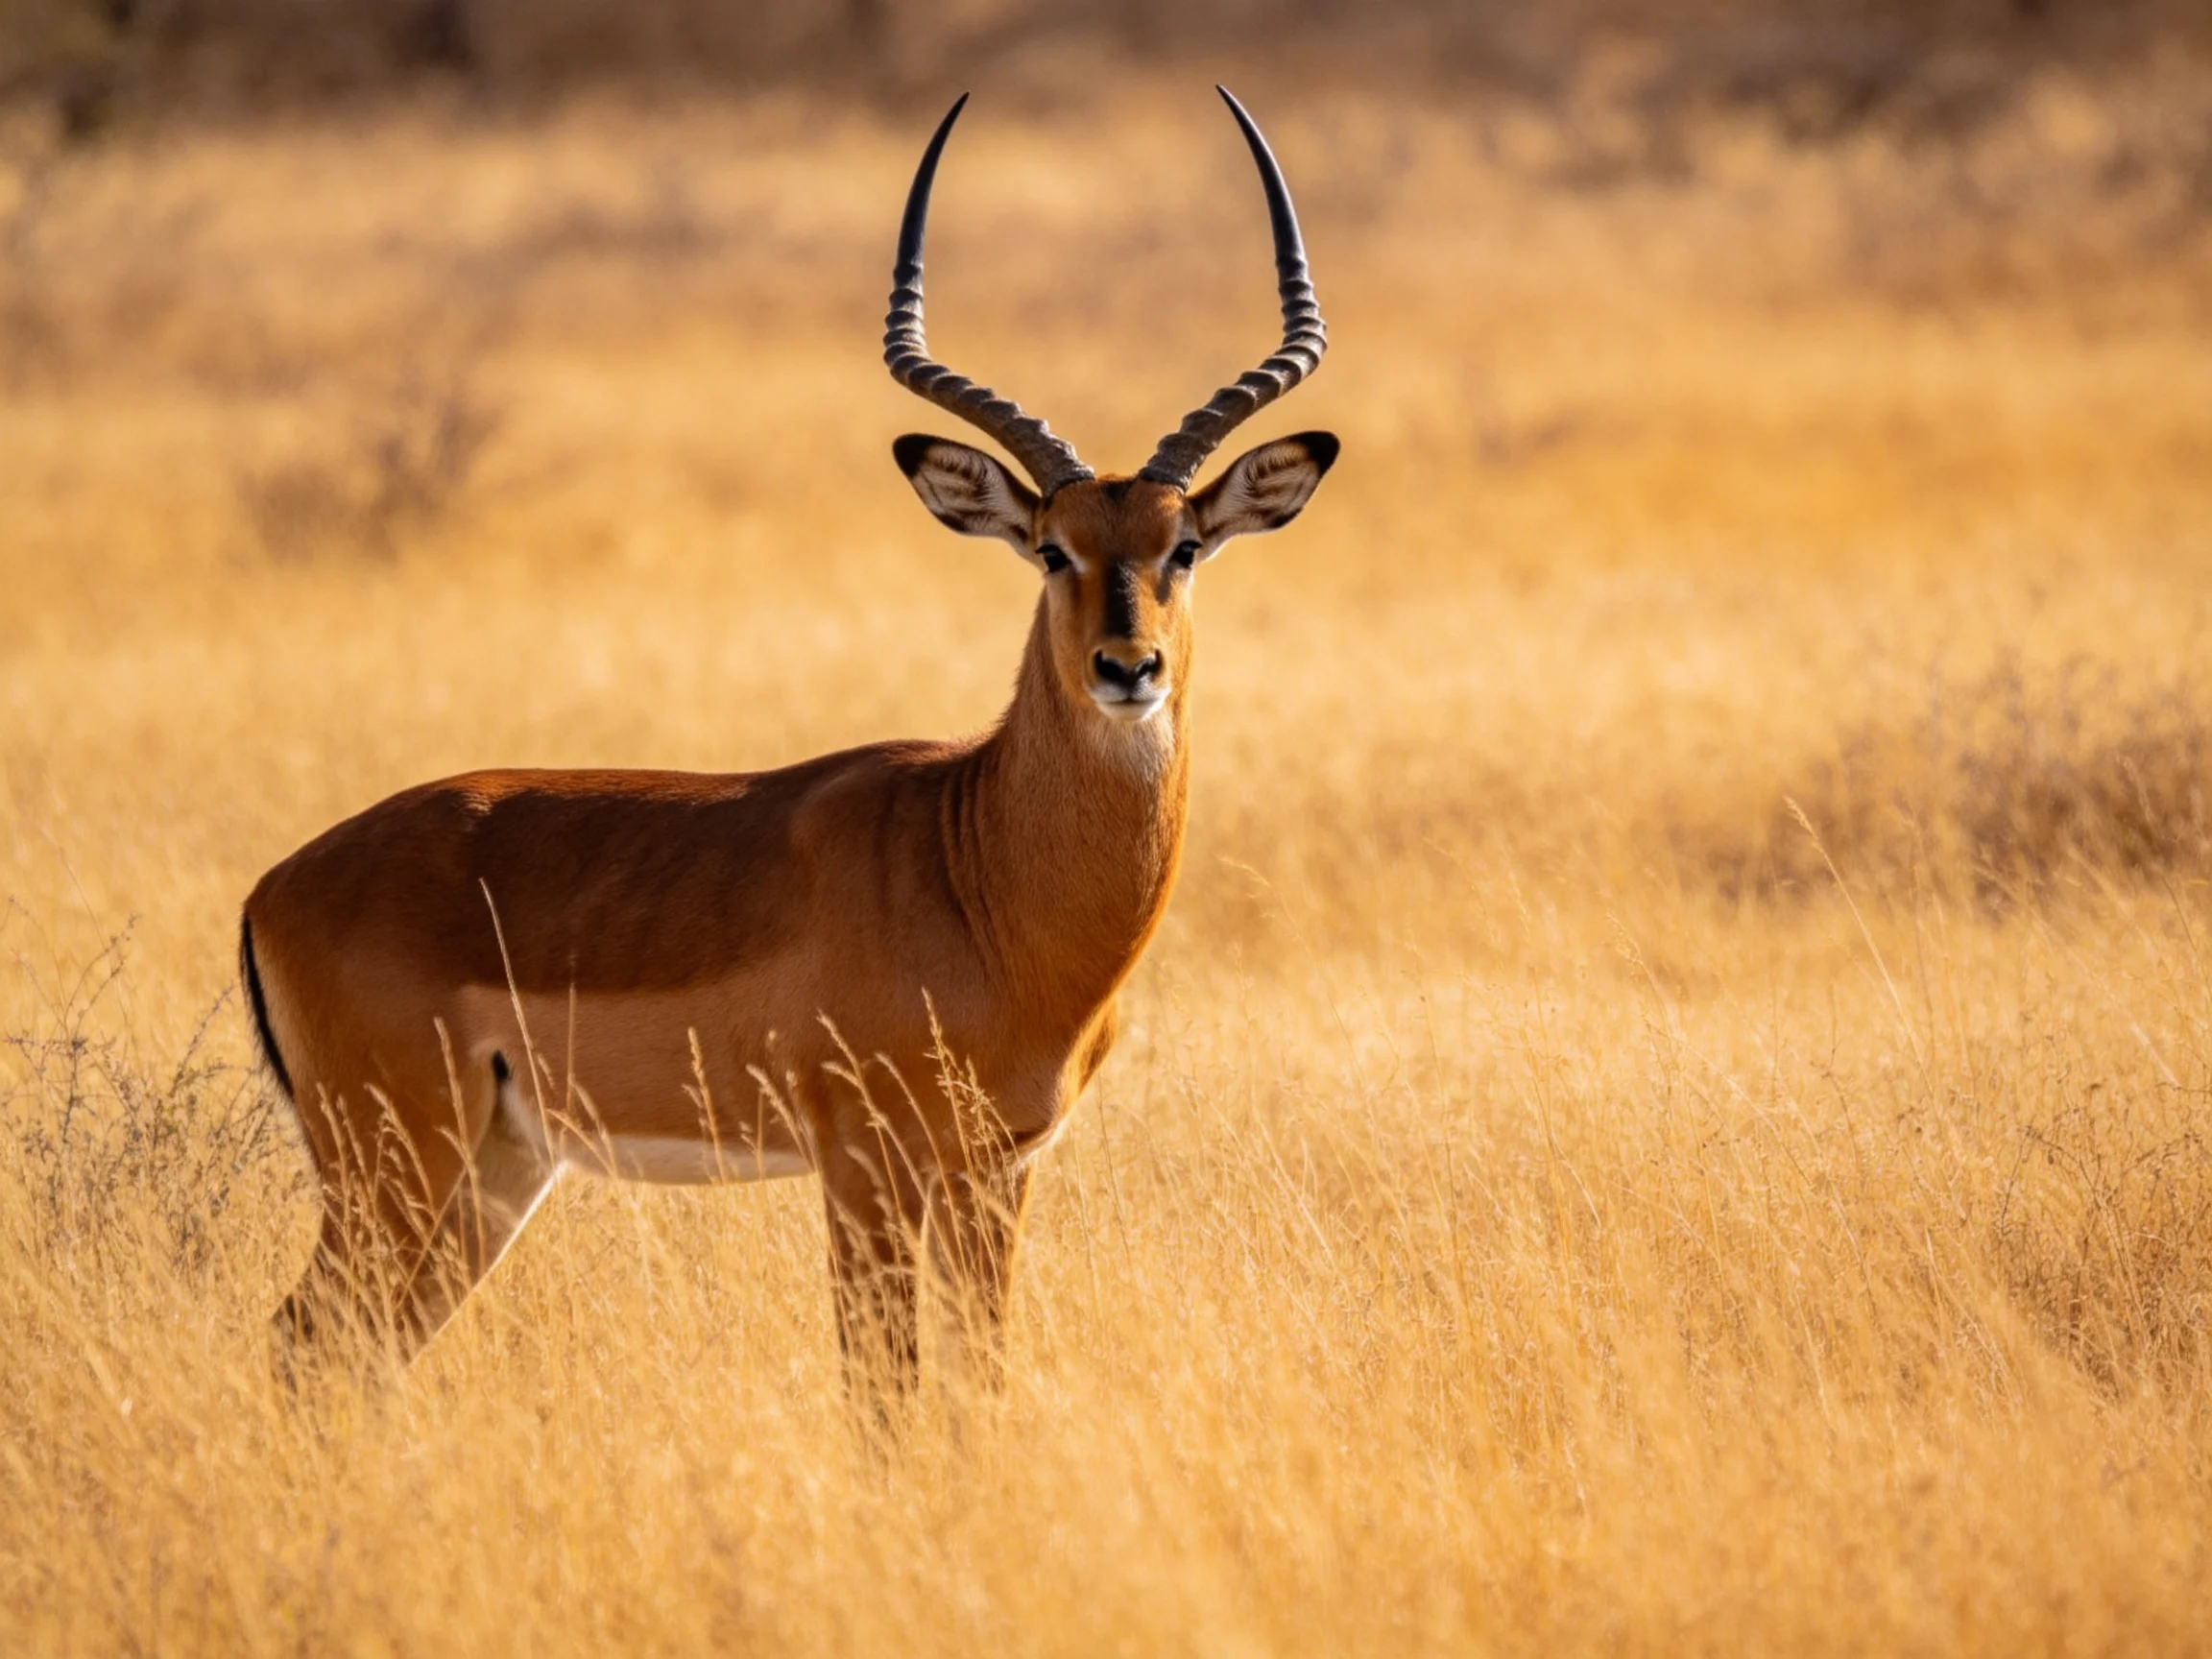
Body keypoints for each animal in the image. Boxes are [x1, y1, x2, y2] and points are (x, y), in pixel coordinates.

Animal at [242, 87, 1336, 1392]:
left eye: (1184, 546)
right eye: (1051, 549)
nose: (1128, 668)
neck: (984, 873)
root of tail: (274, 886)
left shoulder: (1000, 1170)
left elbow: (975, 1381)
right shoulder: (864, 1162)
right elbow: (884, 1387)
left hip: (494, 1173)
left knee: (354, 1353)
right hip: (396, 1161)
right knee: (301, 1341)